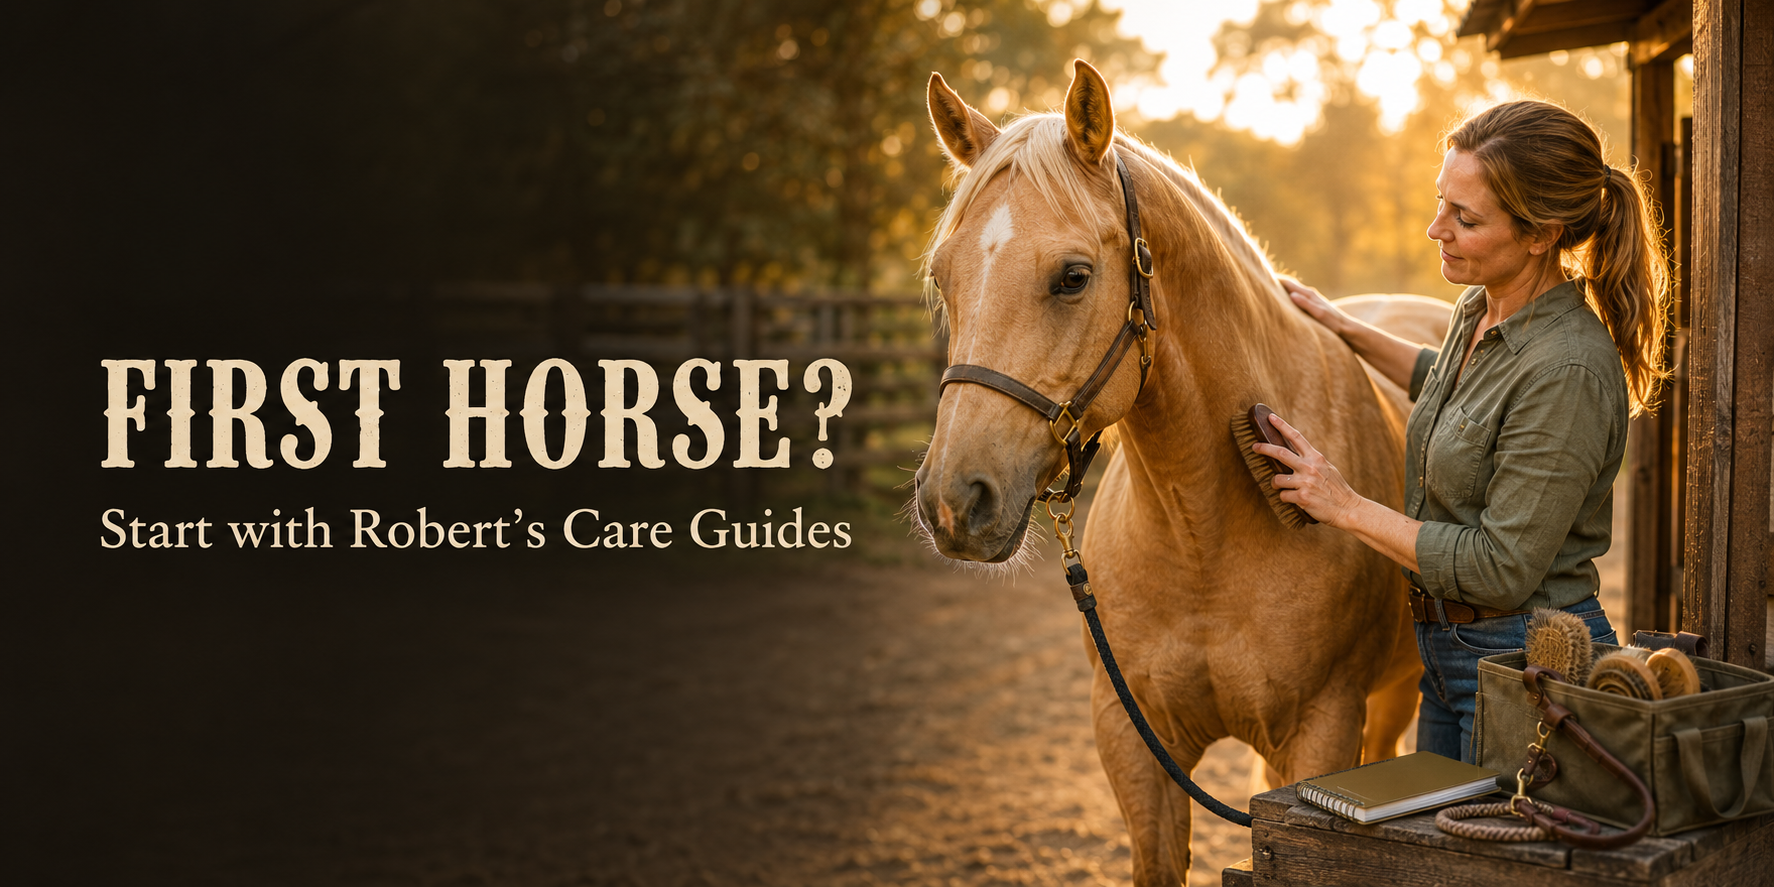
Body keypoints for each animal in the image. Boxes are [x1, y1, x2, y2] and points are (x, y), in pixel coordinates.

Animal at [912, 60, 1452, 883]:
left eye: (1073, 277)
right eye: (945, 277)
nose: (953, 499)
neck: (1204, 529)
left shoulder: (1322, 729)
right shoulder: (1135, 745)